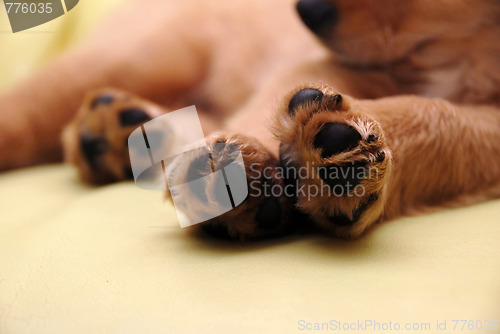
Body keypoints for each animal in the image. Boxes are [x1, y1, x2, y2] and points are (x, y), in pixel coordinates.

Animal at [0, 0, 500, 240]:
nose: (305, 10)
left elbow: (443, 124)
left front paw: (340, 162)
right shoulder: (314, 60)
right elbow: (276, 98)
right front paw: (241, 168)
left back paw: (128, 133)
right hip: (144, 52)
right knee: (28, 104)